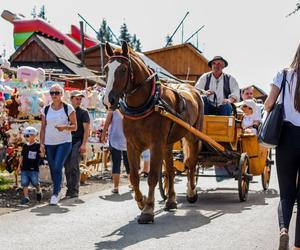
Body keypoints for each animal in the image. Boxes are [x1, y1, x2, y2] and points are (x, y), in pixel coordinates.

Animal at [103, 42, 204, 224]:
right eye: (106, 69)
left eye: (123, 69)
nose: (109, 100)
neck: (146, 104)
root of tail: (191, 88)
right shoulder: (132, 145)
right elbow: (134, 177)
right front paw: (141, 202)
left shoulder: (156, 144)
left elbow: (152, 177)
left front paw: (148, 210)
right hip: (168, 143)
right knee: (170, 170)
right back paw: (171, 200)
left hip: (192, 135)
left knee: (191, 163)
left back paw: (191, 192)